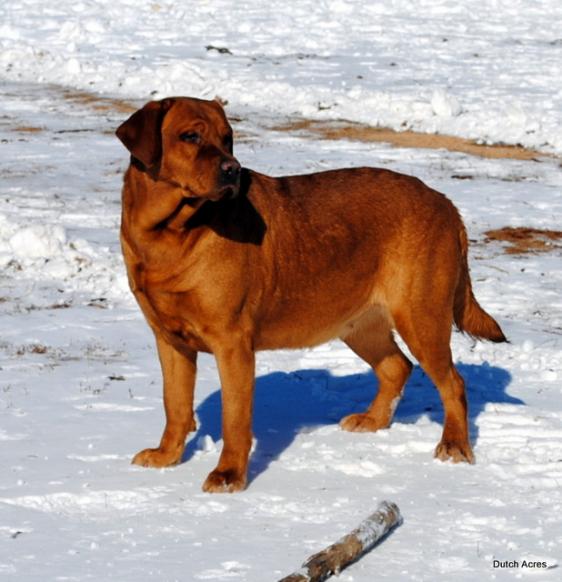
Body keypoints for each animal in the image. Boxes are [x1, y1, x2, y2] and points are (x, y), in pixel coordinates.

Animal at [116, 96, 506, 492]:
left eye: (227, 139)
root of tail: (446, 204)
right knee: (397, 367)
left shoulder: (232, 343)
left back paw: (454, 446)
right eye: (190, 136)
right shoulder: (170, 341)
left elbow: (234, 418)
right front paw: (167, 457)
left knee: (453, 383)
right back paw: (372, 421)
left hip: (420, 317)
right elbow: (175, 406)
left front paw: (228, 476)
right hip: (360, 324)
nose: (232, 170)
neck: (169, 234)